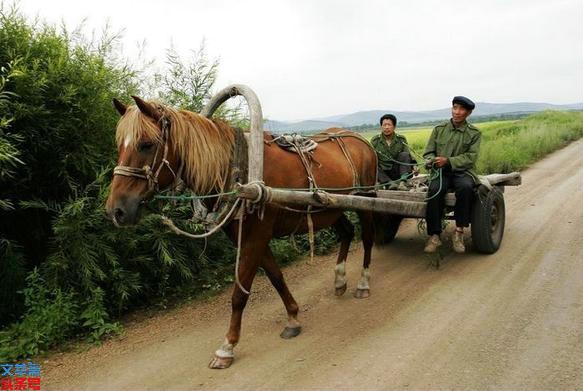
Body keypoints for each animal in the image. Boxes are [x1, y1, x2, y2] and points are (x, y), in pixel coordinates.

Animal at [105, 96, 378, 370]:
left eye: (146, 144)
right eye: (119, 145)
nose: (116, 210)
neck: (236, 170)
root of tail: (359, 139)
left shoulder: (256, 237)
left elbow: (239, 294)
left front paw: (227, 346)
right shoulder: (251, 238)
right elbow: (276, 277)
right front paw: (292, 317)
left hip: (367, 199)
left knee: (367, 238)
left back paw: (363, 283)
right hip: (331, 208)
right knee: (347, 232)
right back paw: (340, 279)